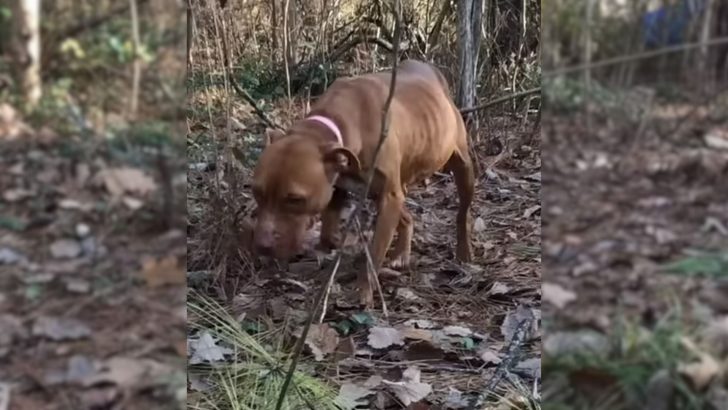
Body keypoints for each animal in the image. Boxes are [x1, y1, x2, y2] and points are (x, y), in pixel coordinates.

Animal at [253, 59, 474, 306]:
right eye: (256, 192)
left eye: (294, 199)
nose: (262, 245)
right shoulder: (342, 186)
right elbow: (329, 232)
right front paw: (337, 245)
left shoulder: (388, 196)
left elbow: (374, 254)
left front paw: (363, 290)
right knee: (406, 215)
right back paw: (401, 254)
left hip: (462, 167)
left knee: (462, 213)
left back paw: (463, 251)